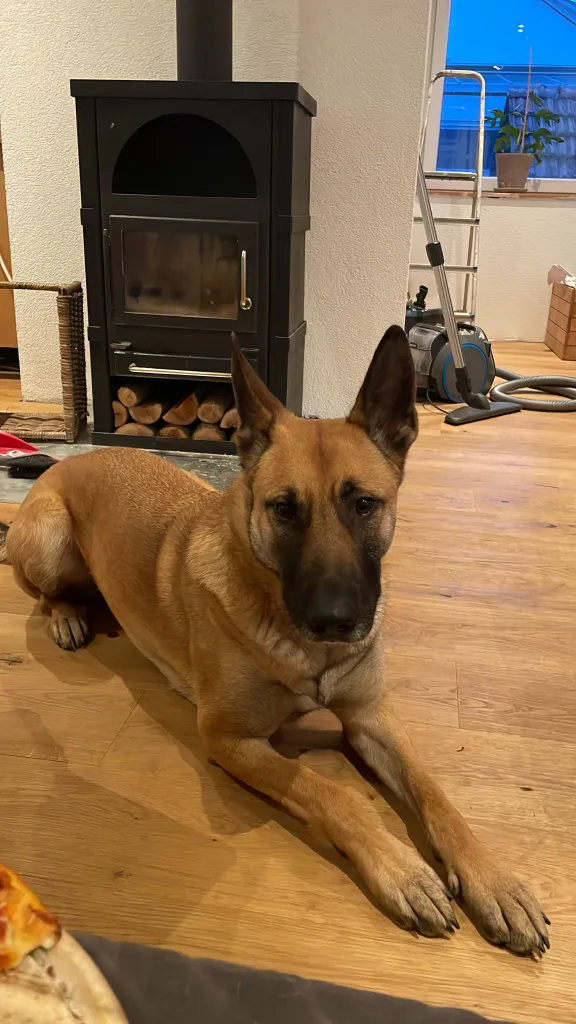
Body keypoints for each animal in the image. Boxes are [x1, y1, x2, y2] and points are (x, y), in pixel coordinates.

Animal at [3, 329, 545, 958]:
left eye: (364, 504)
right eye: (284, 509)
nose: (334, 620)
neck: (308, 650)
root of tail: (64, 465)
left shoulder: (372, 717)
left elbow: (435, 792)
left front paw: (495, 881)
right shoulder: (229, 738)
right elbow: (331, 792)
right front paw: (403, 871)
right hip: (50, 540)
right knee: (46, 593)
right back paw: (67, 615)